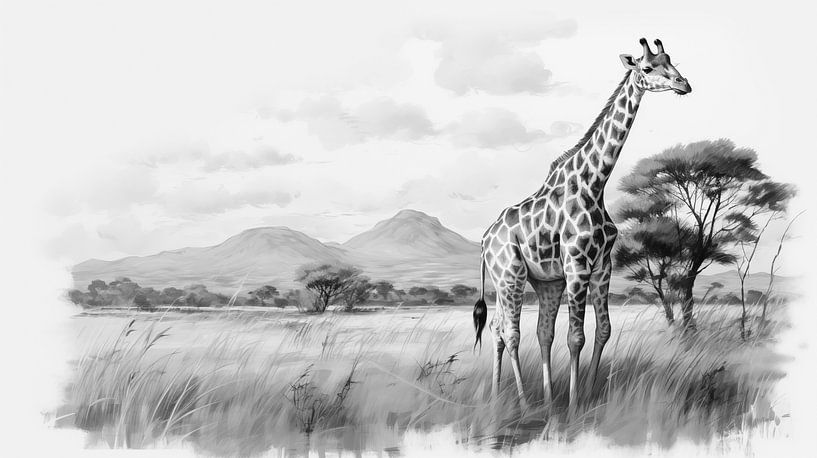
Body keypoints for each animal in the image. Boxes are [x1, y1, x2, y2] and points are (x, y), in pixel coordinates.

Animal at [472, 38, 691, 413]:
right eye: (648, 68)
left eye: (671, 62)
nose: (684, 84)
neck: (594, 183)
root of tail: (486, 240)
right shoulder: (576, 264)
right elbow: (577, 337)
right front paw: (574, 405)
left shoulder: (601, 265)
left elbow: (602, 331)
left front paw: (588, 396)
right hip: (511, 274)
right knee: (509, 333)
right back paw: (523, 404)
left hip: (540, 282)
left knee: (520, 331)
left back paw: (517, 397)